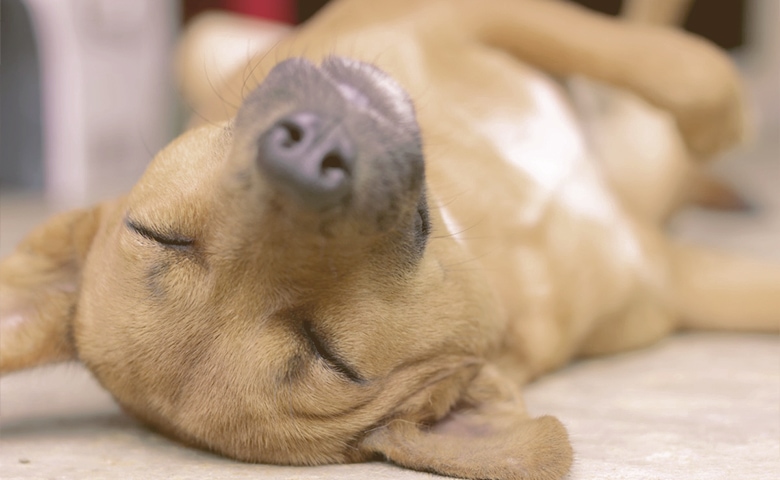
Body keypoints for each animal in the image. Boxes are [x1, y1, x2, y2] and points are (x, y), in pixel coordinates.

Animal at [1, 0, 780, 480]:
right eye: (330, 355)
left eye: (159, 236)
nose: (311, 156)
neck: (483, 231)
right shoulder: (674, 278)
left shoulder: (455, 12)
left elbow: (682, 66)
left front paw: (717, 117)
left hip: (204, 41)